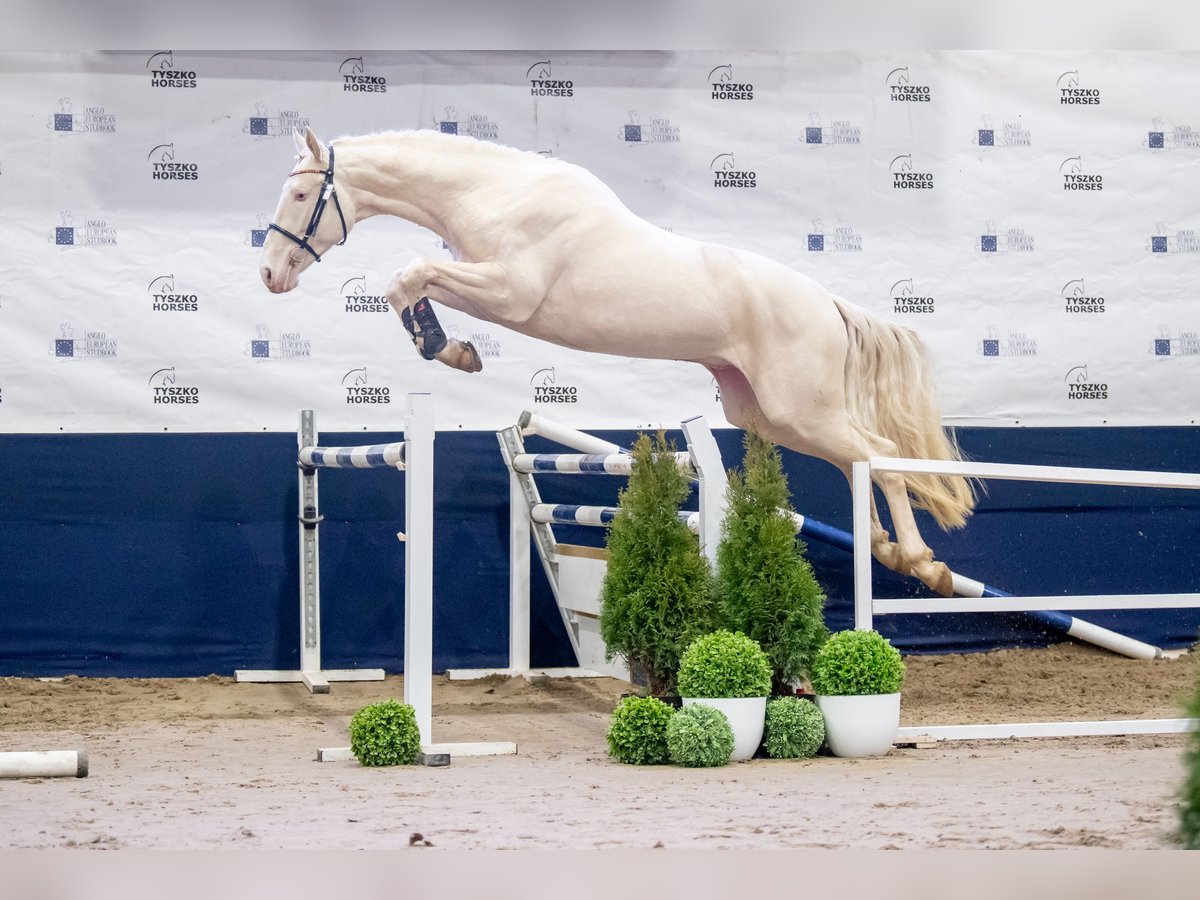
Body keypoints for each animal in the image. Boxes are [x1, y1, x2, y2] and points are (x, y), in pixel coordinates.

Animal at [262, 125, 974, 592]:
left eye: (298, 197)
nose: (270, 274)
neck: (497, 191)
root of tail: (826, 301)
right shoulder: (487, 284)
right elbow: (407, 283)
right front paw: (452, 349)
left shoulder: (509, 292)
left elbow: (409, 275)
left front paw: (450, 352)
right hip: (768, 413)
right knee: (858, 459)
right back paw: (886, 549)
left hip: (801, 406)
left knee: (879, 453)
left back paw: (922, 563)